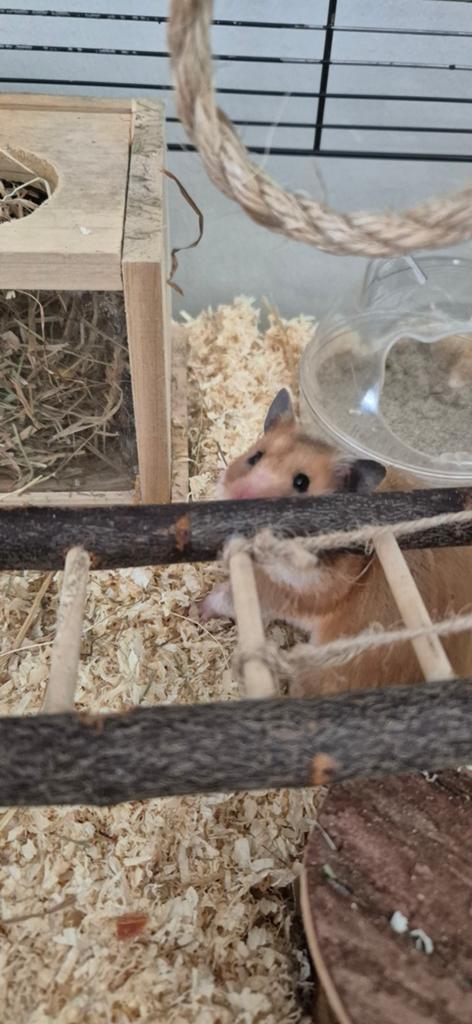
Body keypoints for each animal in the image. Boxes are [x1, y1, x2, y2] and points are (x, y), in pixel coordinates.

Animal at [199, 388, 472, 697]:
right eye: (255, 457)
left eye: (301, 482)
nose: (237, 496)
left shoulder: (286, 591)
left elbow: (231, 596)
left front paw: (197, 609)